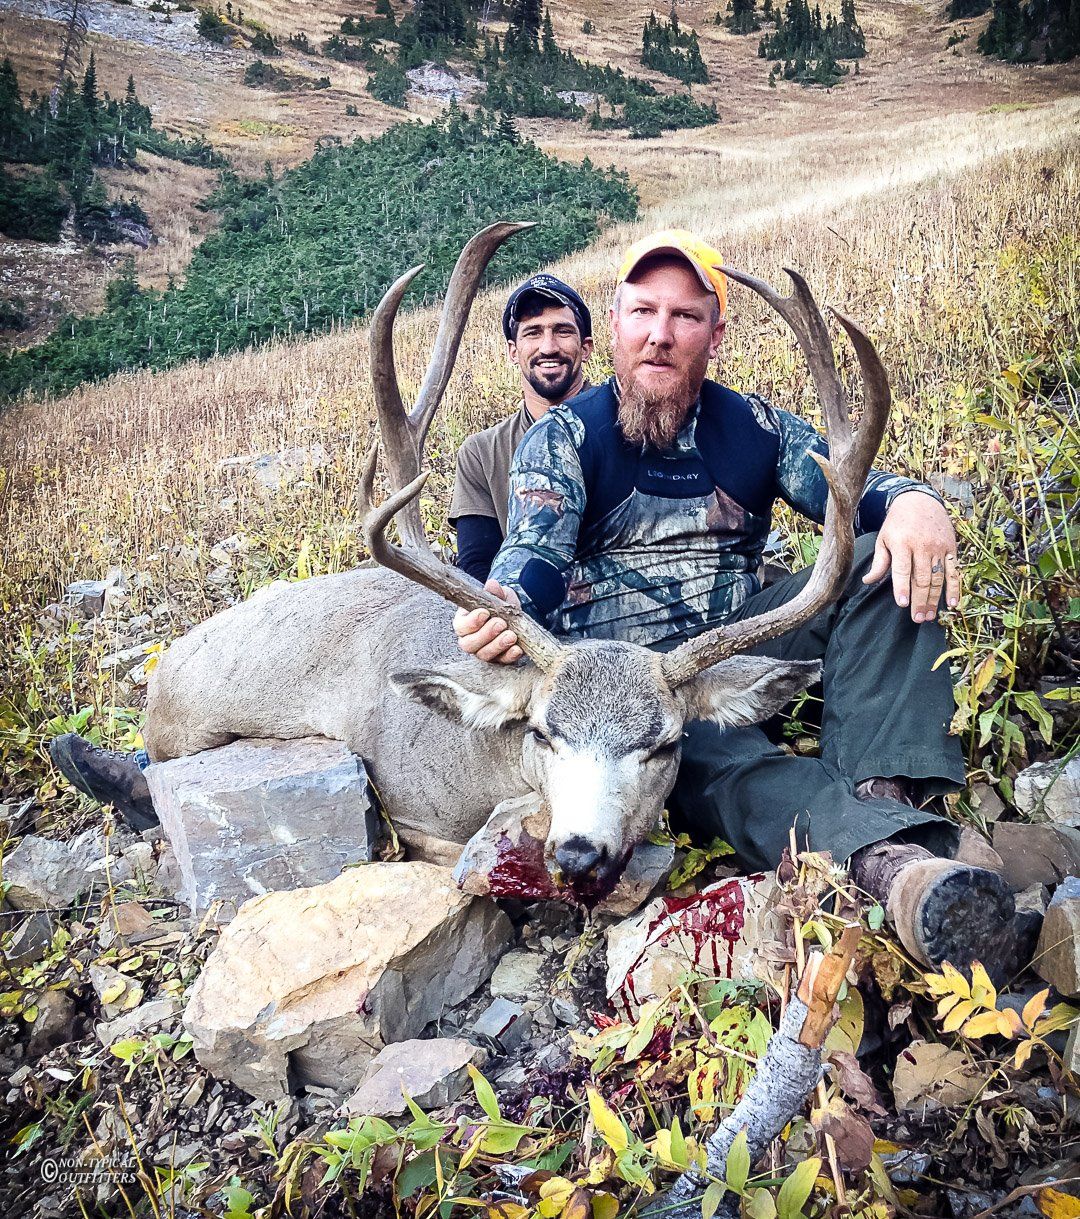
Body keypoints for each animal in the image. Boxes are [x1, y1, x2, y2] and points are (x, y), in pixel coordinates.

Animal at [144, 221, 889, 902]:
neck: (484, 758)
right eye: (543, 732)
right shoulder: (412, 810)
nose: (580, 853)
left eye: (665, 743)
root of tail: (163, 673)